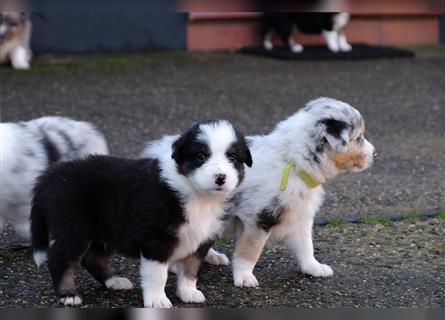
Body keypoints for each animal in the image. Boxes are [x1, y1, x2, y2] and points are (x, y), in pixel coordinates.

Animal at [31, 119, 251, 308]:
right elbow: (158, 274)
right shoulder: (156, 239)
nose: (220, 177)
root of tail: (49, 177)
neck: (198, 196)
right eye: (201, 156)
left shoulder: (202, 239)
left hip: (101, 229)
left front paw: (188, 292)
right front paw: (157, 300)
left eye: (233, 158)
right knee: (60, 258)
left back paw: (115, 281)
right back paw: (68, 295)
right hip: (75, 227)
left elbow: (191, 268)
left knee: (92, 257)